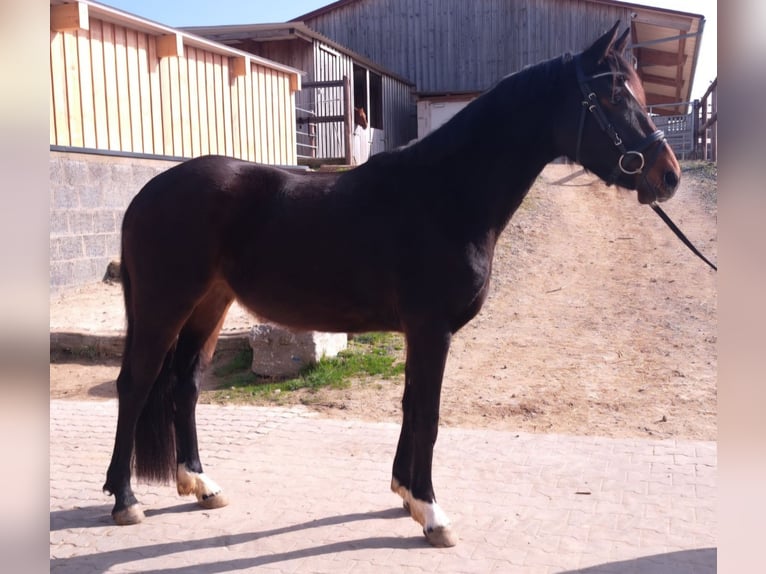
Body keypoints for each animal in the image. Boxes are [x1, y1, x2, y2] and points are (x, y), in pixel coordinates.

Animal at [103, 22, 680, 547]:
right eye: (611, 95)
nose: (668, 176)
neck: (446, 194)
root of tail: (146, 193)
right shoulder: (431, 330)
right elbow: (427, 413)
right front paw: (431, 513)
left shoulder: (419, 333)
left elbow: (409, 405)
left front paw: (405, 494)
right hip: (163, 305)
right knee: (135, 384)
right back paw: (125, 499)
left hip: (210, 305)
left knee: (185, 384)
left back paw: (200, 484)